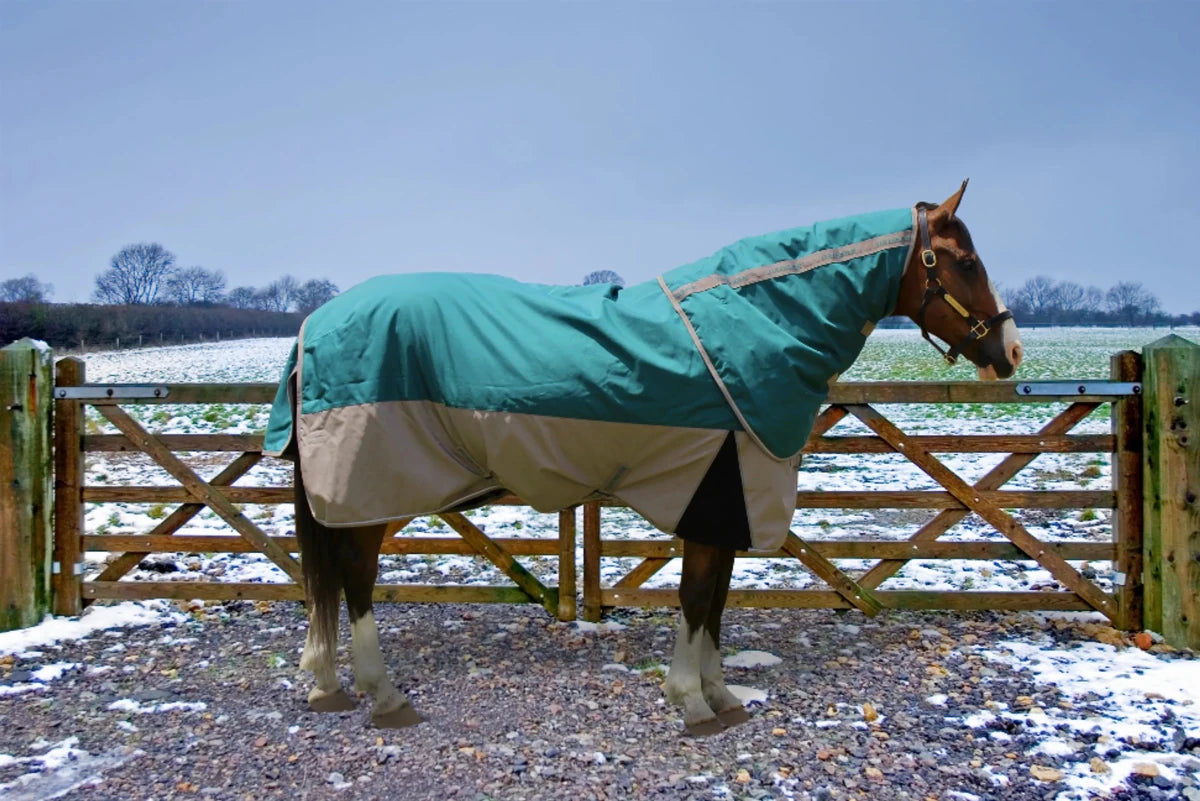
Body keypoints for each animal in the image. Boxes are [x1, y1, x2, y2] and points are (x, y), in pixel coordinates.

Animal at [263, 180, 1023, 735]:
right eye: (965, 262)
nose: (1009, 352)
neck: (755, 321)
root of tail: (314, 323)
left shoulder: (726, 509)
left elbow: (717, 602)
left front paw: (721, 693)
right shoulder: (717, 496)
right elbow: (696, 598)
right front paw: (692, 701)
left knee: (332, 578)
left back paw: (327, 684)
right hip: (372, 488)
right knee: (356, 578)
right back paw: (383, 694)